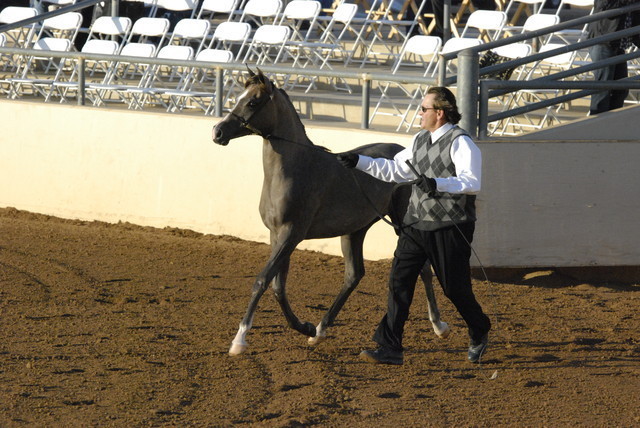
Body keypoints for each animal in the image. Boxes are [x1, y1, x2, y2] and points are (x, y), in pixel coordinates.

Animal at [212, 68, 450, 356]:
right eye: (239, 96)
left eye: (253, 101)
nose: (218, 132)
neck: (295, 169)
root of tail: (408, 157)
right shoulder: (277, 236)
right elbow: (278, 287)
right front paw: (305, 327)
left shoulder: (291, 235)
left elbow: (262, 280)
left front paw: (239, 339)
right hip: (355, 231)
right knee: (354, 275)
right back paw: (320, 330)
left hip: (401, 223)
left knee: (422, 268)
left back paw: (439, 325)